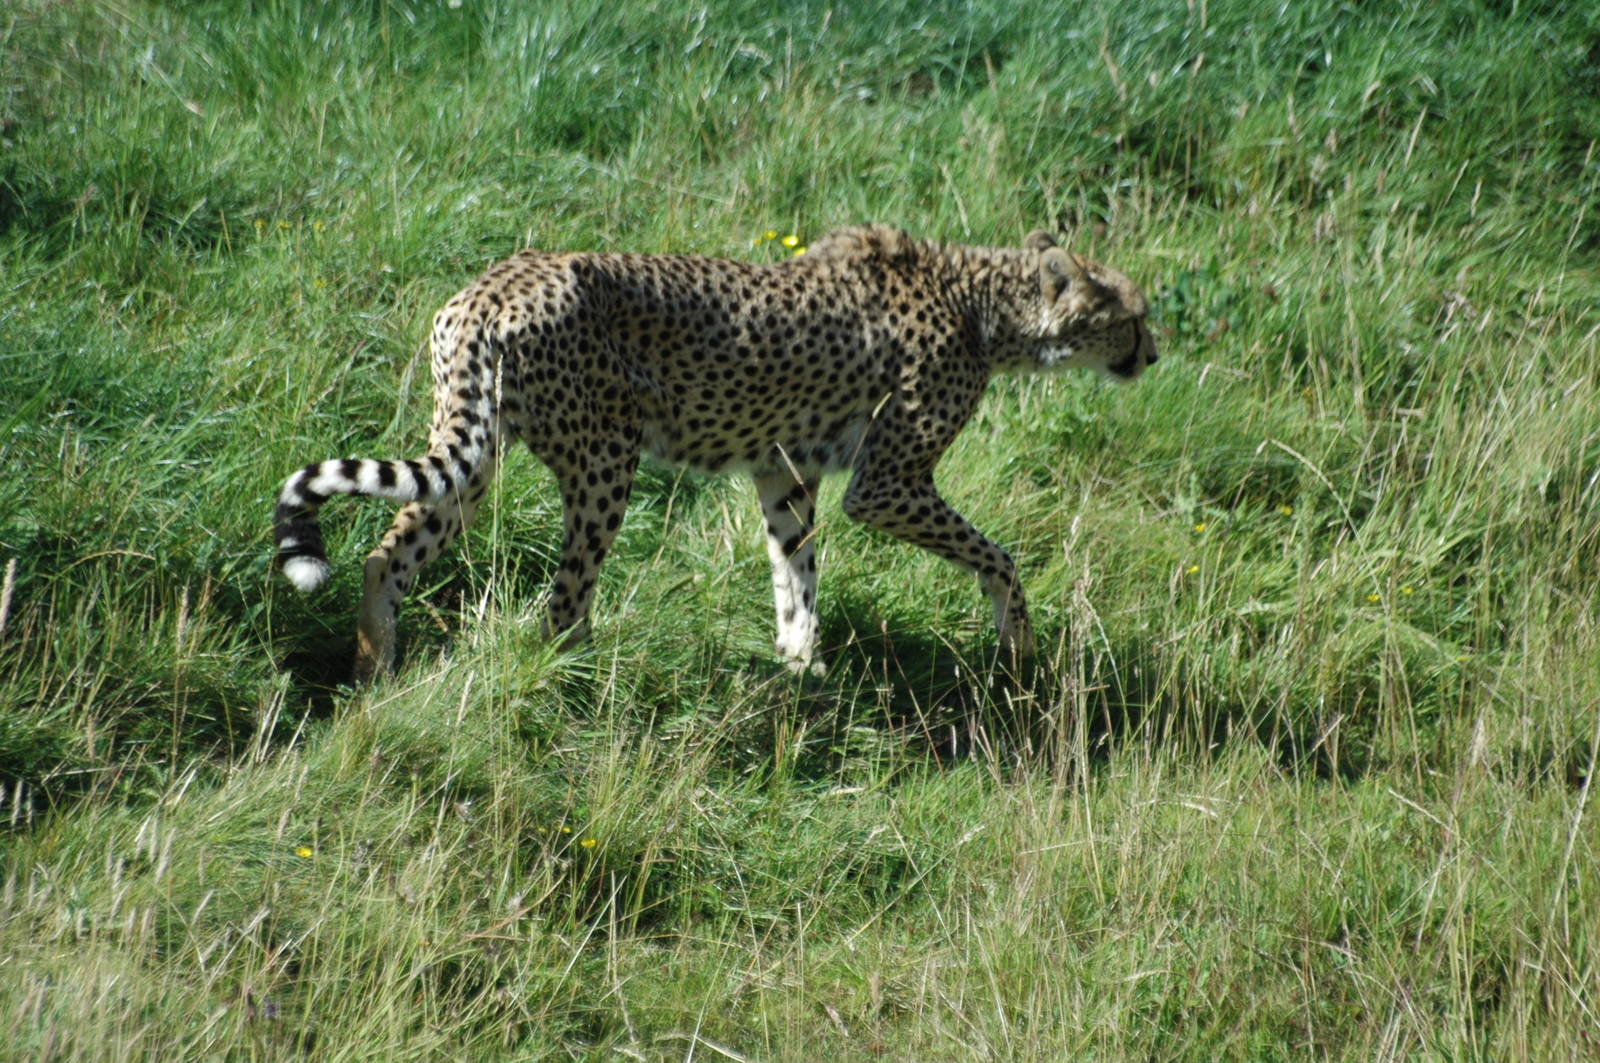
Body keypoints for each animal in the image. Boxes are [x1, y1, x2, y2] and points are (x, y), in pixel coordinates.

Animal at [273, 224, 1157, 681]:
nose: (1153, 354)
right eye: (1134, 316)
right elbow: (997, 555)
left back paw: (374, 673)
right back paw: (578, 687)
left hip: (476, 459)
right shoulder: (887, 483)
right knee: (561, 605)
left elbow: (796, 573)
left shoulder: (784, 469)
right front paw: (1017, 640)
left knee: (387, 554)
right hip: (606, 461)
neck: (982, 302)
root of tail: (495, 284)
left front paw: (798, 672)